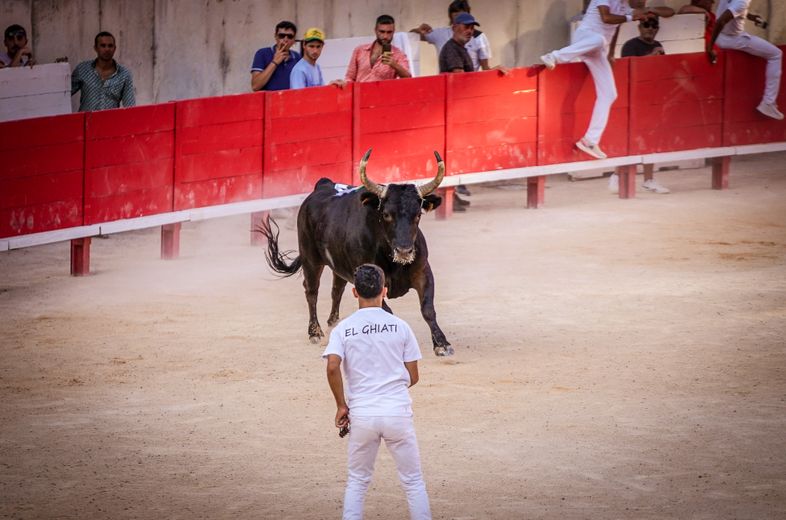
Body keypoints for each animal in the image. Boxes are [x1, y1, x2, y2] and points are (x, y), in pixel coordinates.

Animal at [258, 148, 454, 356]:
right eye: (386, 214)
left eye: (418, 215)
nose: (404, 251)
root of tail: (323, 185)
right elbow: (385, 311)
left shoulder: (423, 273)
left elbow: (428, 309)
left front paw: (442, 344)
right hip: (310, 258)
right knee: (311, 290)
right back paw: (315, 332)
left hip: (338, 266)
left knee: (336, 289)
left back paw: (333, 322)